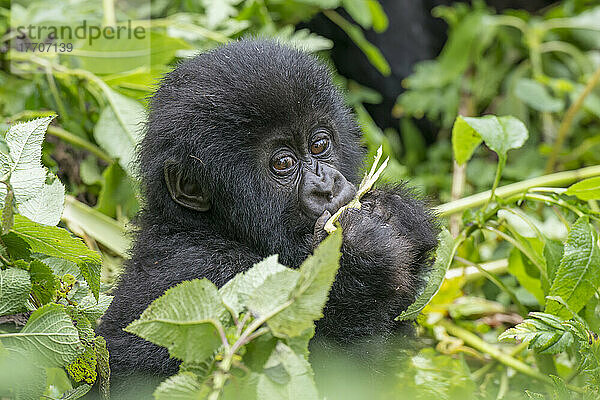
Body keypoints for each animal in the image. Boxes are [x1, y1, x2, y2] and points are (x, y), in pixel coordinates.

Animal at [97, 39, 436, 382]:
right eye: (283, 163)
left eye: (319, 145)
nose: (327, 187)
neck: (207, 228)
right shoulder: (208, 276)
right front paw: (360, 250)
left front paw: (397, 212)